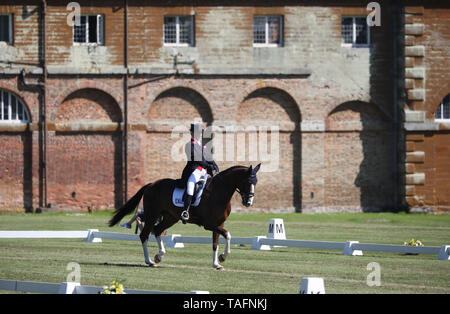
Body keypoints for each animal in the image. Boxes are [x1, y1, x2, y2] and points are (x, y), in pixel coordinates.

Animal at [108, 163, 260, 268]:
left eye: (256, 183)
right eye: (248, 182)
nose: (248, 202)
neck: (218, 193)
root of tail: (151, 184)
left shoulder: (218, 224)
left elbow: (215, 243)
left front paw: (217, 264)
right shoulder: (209, 225)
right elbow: (228, 235)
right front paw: (223, 257)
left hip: (170, 217)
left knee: (157, 230)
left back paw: (159, 256)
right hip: (152, 215)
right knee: (144, 234)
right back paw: (150, 261)